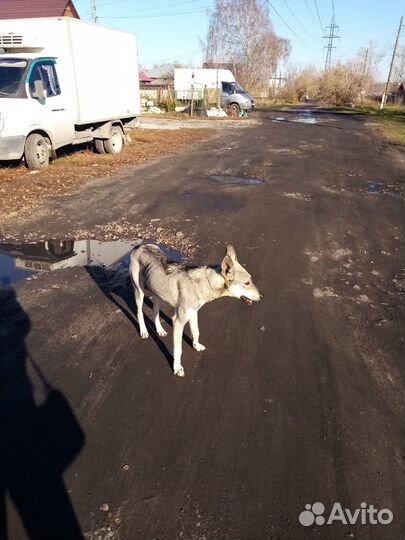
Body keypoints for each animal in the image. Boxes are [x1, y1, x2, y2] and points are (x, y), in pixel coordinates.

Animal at [129, 243, 262, 378]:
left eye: (250, 280)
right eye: (247, 283)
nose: (262, 296)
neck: (206, 283)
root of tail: (140, 245)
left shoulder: (193, 313)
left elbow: (196, 332)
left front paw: (196, 346)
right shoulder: (178, 321)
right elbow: (178, 350)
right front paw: (177, 368)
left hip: (157, 295)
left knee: (155, 312)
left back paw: (160, 330)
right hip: (139, 292)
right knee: (139, 313)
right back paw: (144, 331)